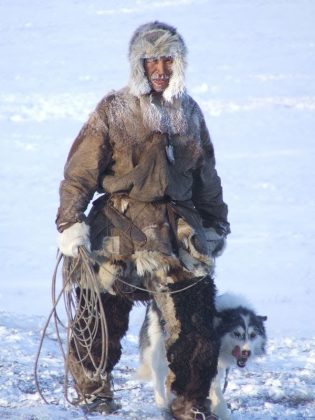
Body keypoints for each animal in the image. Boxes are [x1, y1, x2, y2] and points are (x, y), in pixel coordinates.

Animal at [137, 294, 268, 418]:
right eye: (236, 334)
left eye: (253, 335)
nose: (247, 352)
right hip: (159, 353)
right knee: (158, 381)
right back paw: (163, 407)